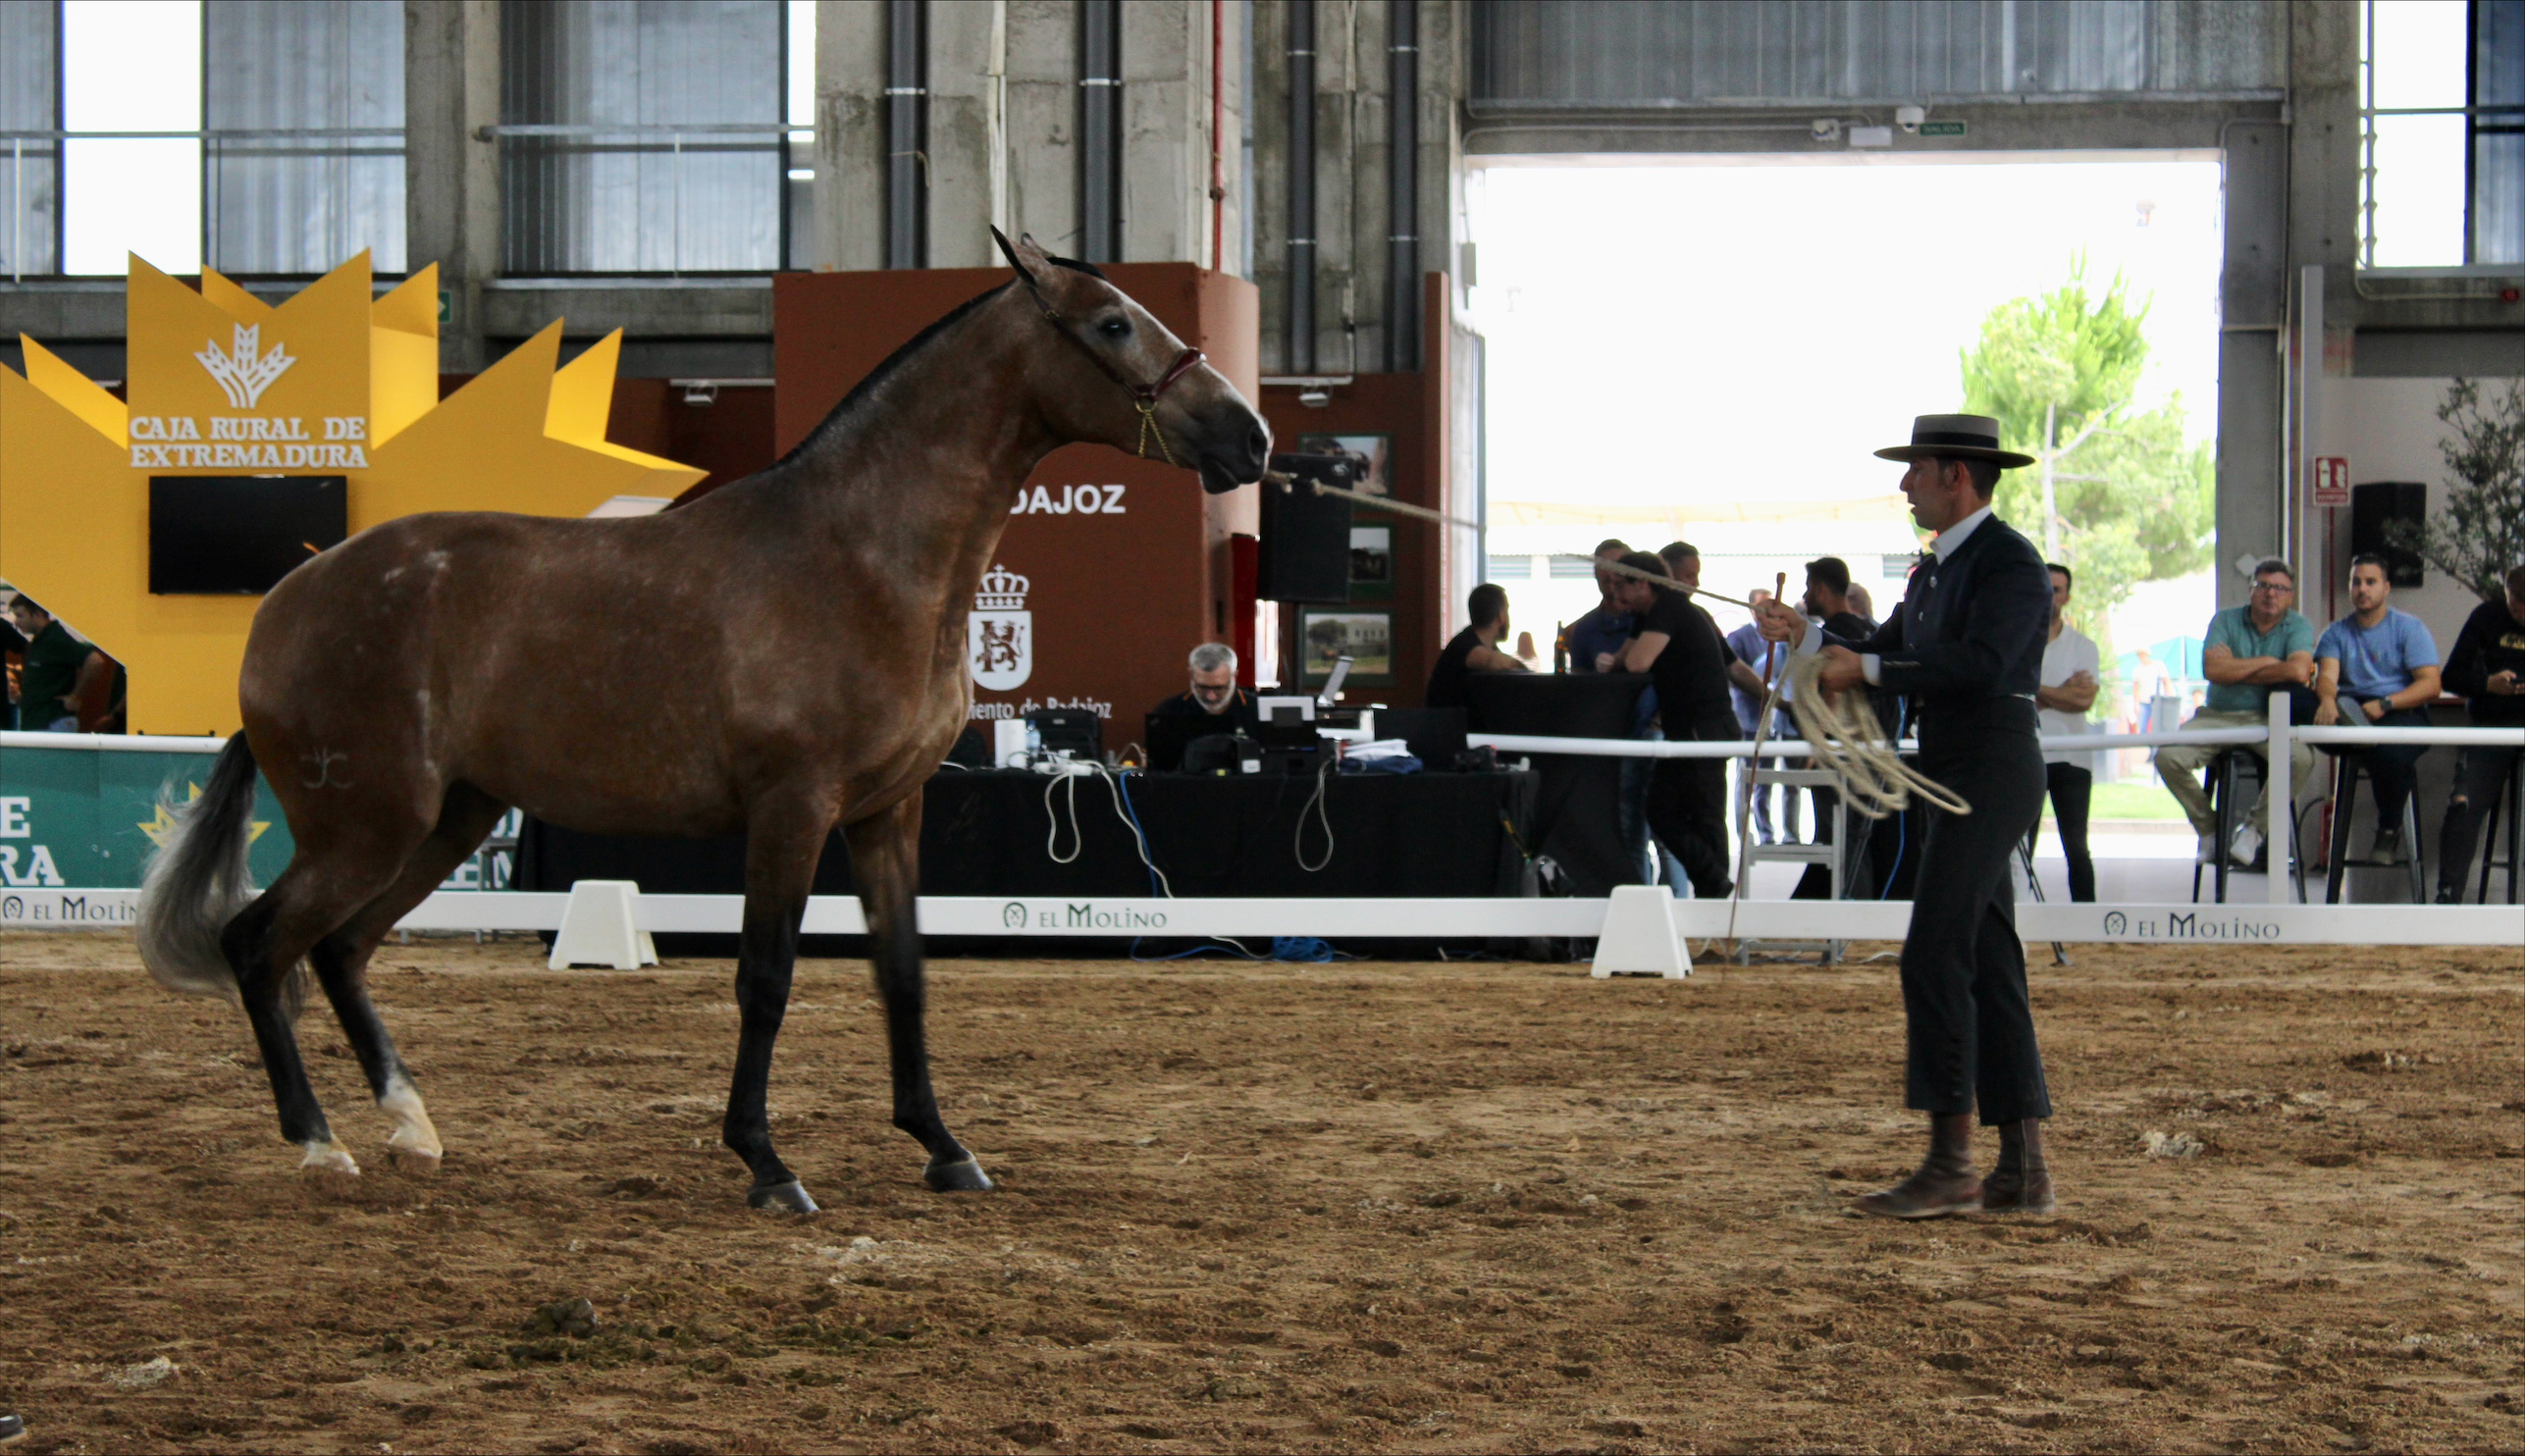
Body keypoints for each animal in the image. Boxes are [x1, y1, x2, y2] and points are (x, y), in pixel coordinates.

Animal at [135, 235, 1272, 1216]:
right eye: (1113, 324)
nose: (1248, 436)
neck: (861, 558)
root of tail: (287, 599)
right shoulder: (791, 809)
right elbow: (763, 978)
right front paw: (767, 1164)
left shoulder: (888, 811)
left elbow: (901, 974)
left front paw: (943, 1147)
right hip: (365, 825)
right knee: (258, 945)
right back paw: (319, 1143)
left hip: (447, 820)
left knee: (339, 951)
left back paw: (410, 1128)